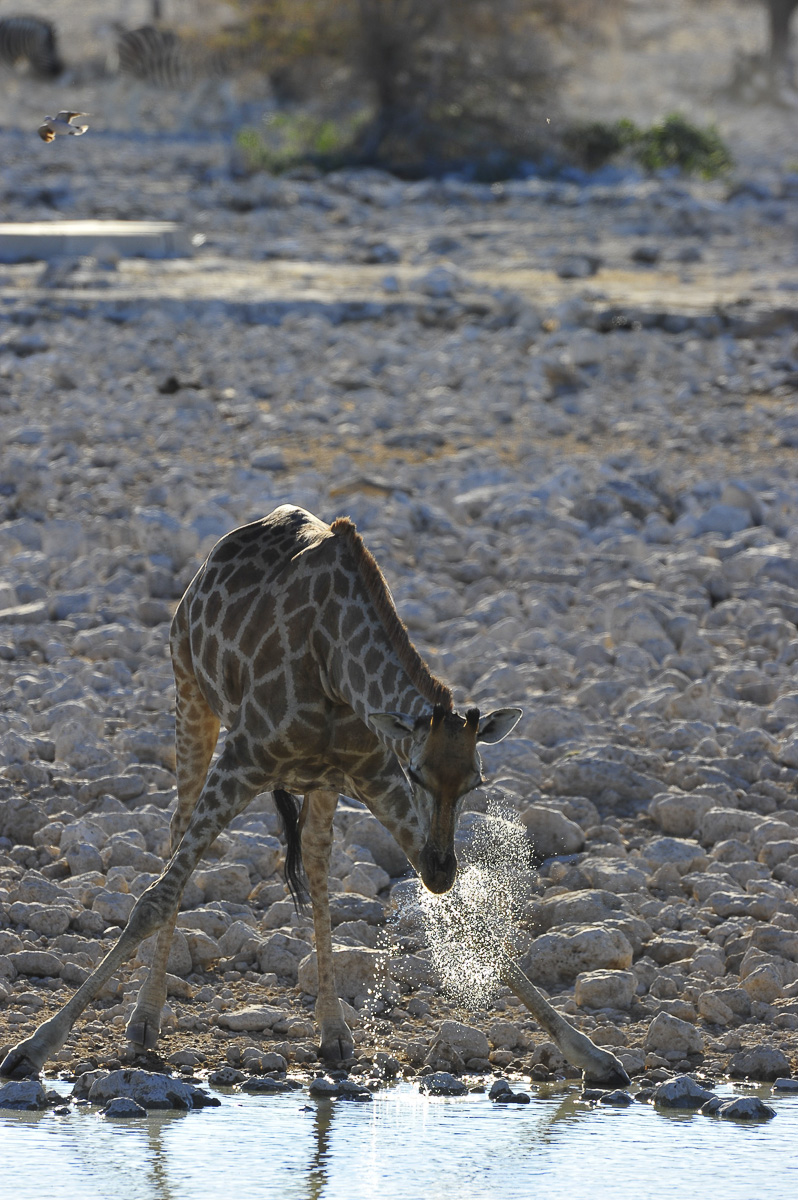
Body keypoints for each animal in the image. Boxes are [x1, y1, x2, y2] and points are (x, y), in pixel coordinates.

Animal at [0, 504, 523, 1078]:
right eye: (418, 773)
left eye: (475, 782)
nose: (440, 869)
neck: (336, 667)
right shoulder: (248, 756)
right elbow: (153, 899)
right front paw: (32, 1048)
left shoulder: (370, 775)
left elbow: (473, 916)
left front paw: (576, 1045)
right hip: (190, 696)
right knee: (177, 834)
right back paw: (143, 1023)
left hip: (320, 783)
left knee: (314, 861)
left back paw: (333, 1033)